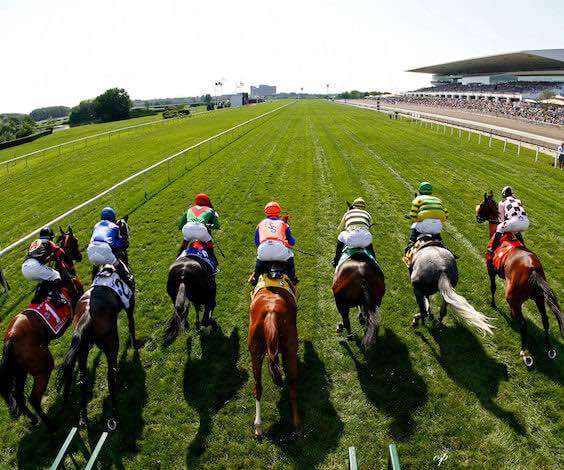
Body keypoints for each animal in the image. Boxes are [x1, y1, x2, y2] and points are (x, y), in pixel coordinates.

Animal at [0, 228, 83, 430]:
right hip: (42, 366)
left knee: (19, 397)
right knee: (33, 398)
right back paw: (50, 425)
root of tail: (9, 337)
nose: (79, 256)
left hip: (21, 371)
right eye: (76, 240)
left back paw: (33, 420)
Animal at [58, 218, 137, 428]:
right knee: (110, 374)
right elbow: (132, 325)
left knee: (83, 380)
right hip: (110, 343)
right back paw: (115, 413)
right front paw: (135, 346)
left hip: (82, 351)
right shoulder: (130, 303)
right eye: (125, 228)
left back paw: (84, 417)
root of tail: (87, 316)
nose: (127, 240)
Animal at [248, 266, 300, 438]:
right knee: (292, 386)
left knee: (258, 387)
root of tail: (271, 312)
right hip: (291, 350)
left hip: (255, 351)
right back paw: (296, 425)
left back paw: (258, 427)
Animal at [476, 193, 564, 366]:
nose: (477, 217)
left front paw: (493, 304)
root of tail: (533, 269)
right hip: (538, 297)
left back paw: (525, 352)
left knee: (523, 324)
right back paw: (549, 347)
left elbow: (493, 287)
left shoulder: (490, 269)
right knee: (545, 319)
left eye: (482, 205)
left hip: (512, 297)